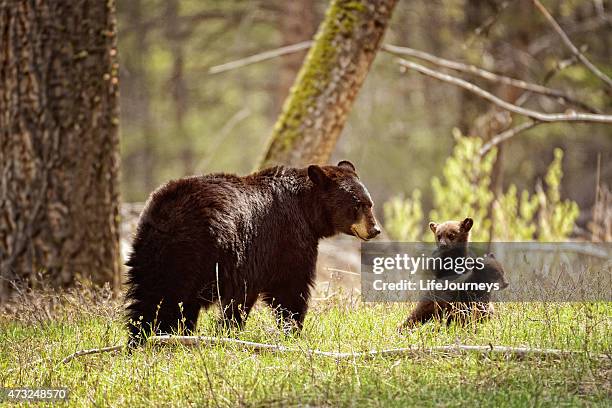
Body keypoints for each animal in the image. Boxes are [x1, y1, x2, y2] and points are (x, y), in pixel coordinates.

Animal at [126, 161, 380, 346]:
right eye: (357, 204)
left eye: (370, 203)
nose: (375, 229)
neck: (307, 210)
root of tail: (170, 212)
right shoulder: (283, 242)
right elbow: (289, 289)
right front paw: (292, 331)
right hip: (197, 252)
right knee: (170, 298)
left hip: (150, 251)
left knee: (147, 299)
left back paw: (141, 340)